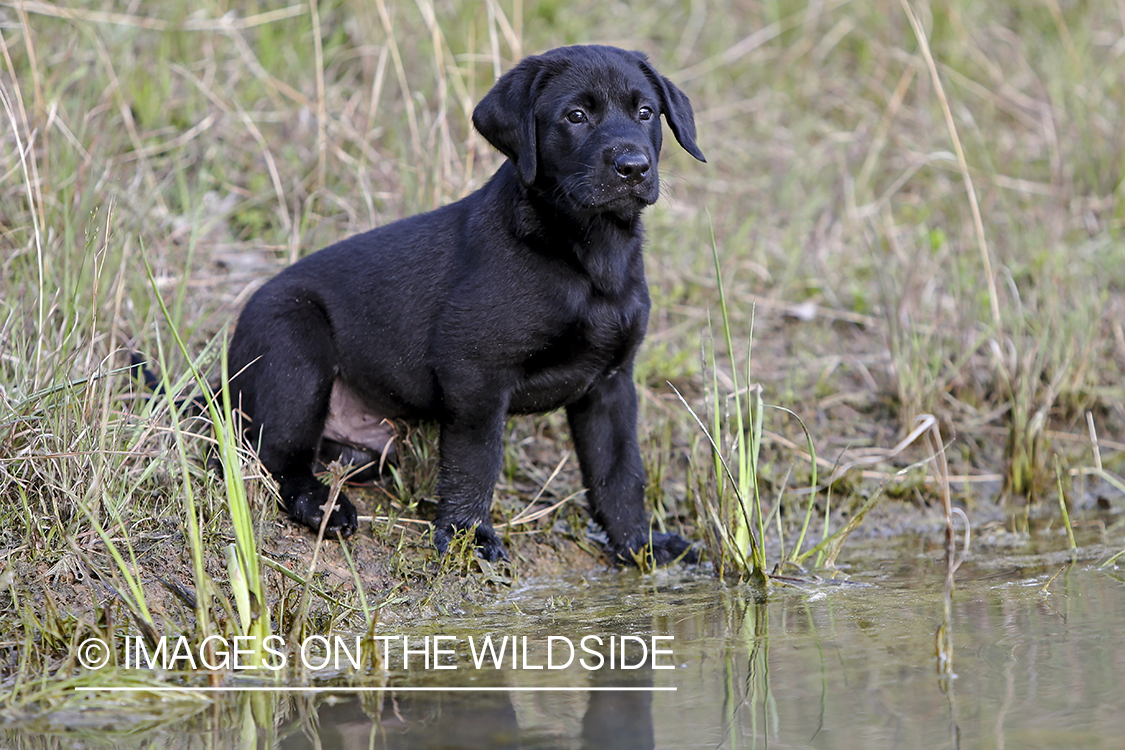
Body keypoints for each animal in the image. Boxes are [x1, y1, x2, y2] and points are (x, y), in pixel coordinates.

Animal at [227, 42, 702, 562]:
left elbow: (618, 472)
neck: (591, 256)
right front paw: (469, 536)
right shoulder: (475, 370)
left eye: (646, 112)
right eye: (575, 116)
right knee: (274, 455)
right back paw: (322, 506)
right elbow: (475, 460)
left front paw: (640, 545)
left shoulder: (612, 383)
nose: (633, 167)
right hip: (295, 347)